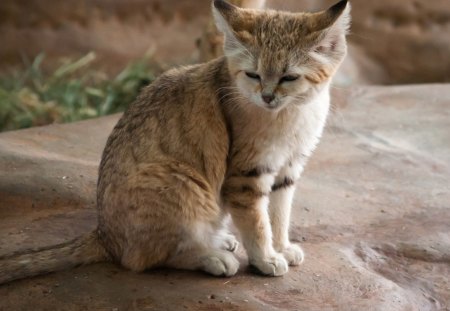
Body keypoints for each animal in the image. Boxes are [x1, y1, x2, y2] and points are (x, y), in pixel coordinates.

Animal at [0, 0, 350, 284]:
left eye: (289, 77)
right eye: (253, 74)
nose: (266, 97)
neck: (294, 112)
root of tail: (104, 236)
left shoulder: (288, 168)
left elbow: (278, 216)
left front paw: (282, 247)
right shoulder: (247, 175)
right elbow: (257, 222)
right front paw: (265, 258)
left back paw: (219, 241)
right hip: (182, 183)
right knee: (143, 259)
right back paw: (212, 257)